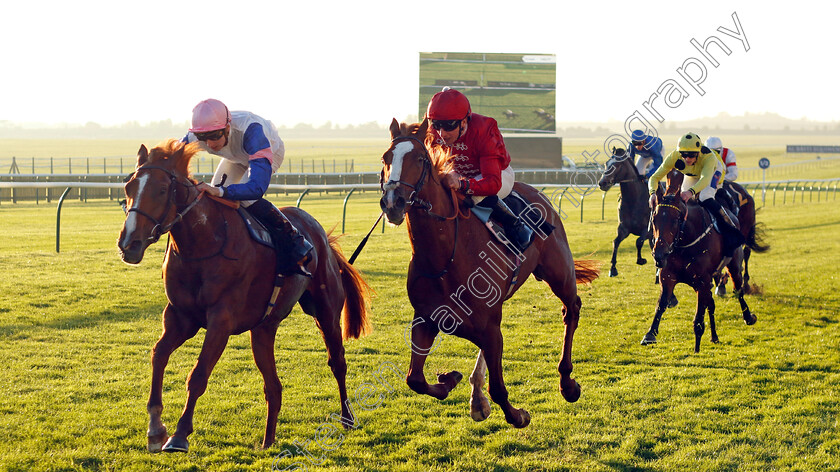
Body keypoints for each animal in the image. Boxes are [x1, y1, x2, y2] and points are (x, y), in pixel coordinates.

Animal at [116, 138, 370, 452]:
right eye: (129, 187)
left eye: (162, 190)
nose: (129, 243)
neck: (203, 244)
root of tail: (320, 234)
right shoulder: (181, 317)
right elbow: (158, 355)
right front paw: (155, 428)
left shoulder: (221, 320)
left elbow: (198, 374)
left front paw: (179, 435)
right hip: (263, 328)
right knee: (273, 386)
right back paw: (268, 441)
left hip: (326, 311)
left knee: (337, 361)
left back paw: (347, 418)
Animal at [378, 119, 600, 428]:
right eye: (386, 158)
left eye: (420, 159)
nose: (393, 202)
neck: (444, 257)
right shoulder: (425, 319)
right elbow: (415, 379)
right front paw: (451, 380)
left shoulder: (489, 325)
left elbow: (498, 387)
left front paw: (517, 415)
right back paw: (476, 397)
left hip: (560, 273)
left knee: (572, 309)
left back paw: (567, 383)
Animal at [640, 186, 764, 352]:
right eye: (654, 219)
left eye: (676, 219)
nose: (659, 254)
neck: (684, 244)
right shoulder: (668, 277)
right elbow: (661, 304)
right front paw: (650, 334)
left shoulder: (702, 282)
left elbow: (699, 316)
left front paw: (697, 348)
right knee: (711, 303)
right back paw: (714, 336)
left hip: (734, 265)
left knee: (738, 290)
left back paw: (748, 317)